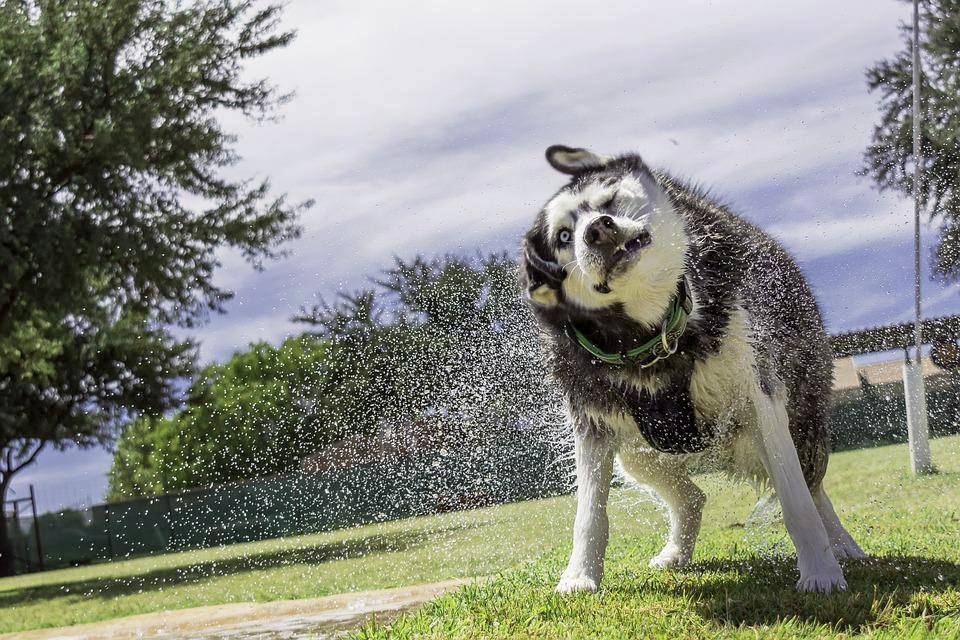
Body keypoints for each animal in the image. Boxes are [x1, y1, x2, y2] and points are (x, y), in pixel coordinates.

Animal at [520, 145, 868, 596]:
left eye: (608, 201)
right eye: (563, 236)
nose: (597, 230)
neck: (651, 339)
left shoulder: (758, 396)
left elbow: (796, 500)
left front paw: (821, 573)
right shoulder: (592, 422)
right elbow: (589, 513)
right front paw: (579, 578)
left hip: (802, 420)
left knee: (813, 486)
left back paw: (844, 546)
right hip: (638, 454)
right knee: (692, 497)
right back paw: (675, 553)